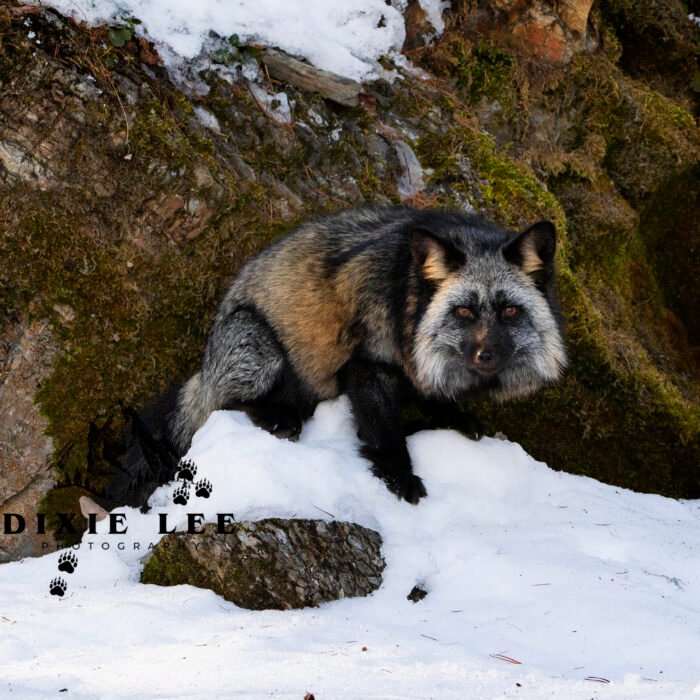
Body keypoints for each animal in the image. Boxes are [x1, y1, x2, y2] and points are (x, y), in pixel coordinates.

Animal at [166, 206, 567, 504]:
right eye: (464, 311)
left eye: (510, 311)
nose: (487, 355)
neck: (405, 301)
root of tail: (204, 367)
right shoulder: (368, 365)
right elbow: (384, 430)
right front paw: (398, 475)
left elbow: (434, 398)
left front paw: (454, 417)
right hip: (260, 350)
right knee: (225, 403)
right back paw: (278, 417)